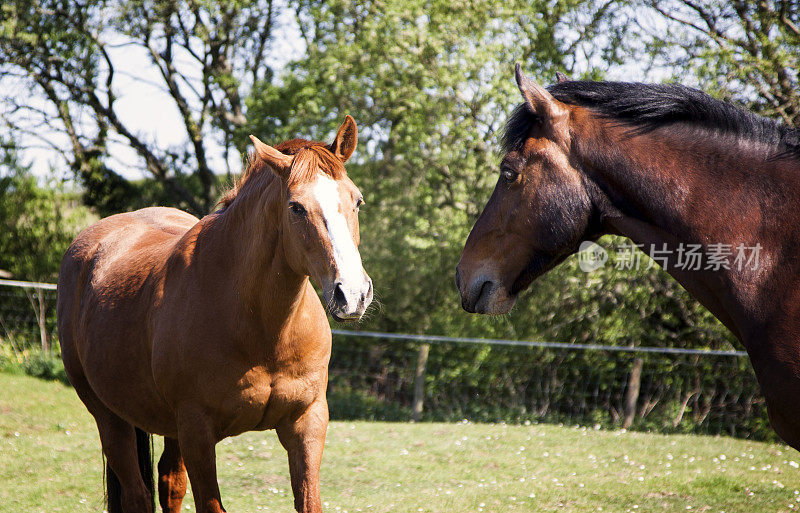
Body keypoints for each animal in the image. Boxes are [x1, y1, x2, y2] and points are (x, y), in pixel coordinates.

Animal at [57, 116, 372, 512]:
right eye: (296, 207)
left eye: (357, 200)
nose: (353, 294)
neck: (260, 330)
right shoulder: (197, 432)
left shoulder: (307, 422)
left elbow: (308, 500)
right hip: (109, 416)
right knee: (137, 493)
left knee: (169, 483)